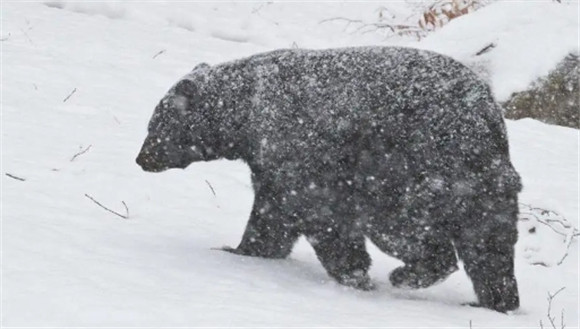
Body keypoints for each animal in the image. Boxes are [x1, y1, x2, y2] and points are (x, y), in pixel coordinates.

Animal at [138, 45, 524, 310]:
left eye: (156, 124)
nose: (142, 158)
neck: (247, 113)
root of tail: (487, 118)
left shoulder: (301, 150)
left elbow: (320, 214)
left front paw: (354, 274)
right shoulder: (270, 164)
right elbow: (271, 213)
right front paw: (244, 248)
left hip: (419, 169)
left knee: (408, 229)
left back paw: (407, 274)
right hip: (485, 184)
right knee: (490, 244)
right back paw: (494, 300)